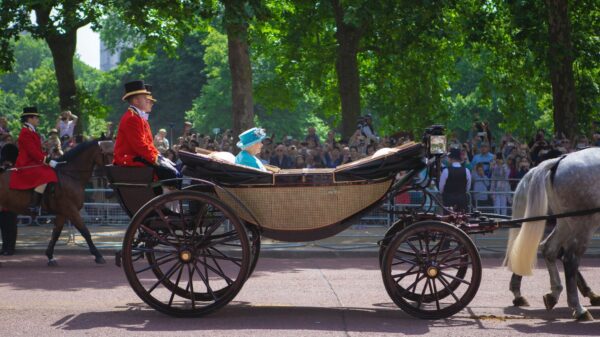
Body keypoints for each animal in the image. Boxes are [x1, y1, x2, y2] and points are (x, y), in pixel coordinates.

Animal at [506, 149, 600, 320]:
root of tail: (559, 161)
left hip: (565, 222)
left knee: (549, 249)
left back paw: (553, 294)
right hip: (584, 223)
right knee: (570, 259)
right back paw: (579, 308)